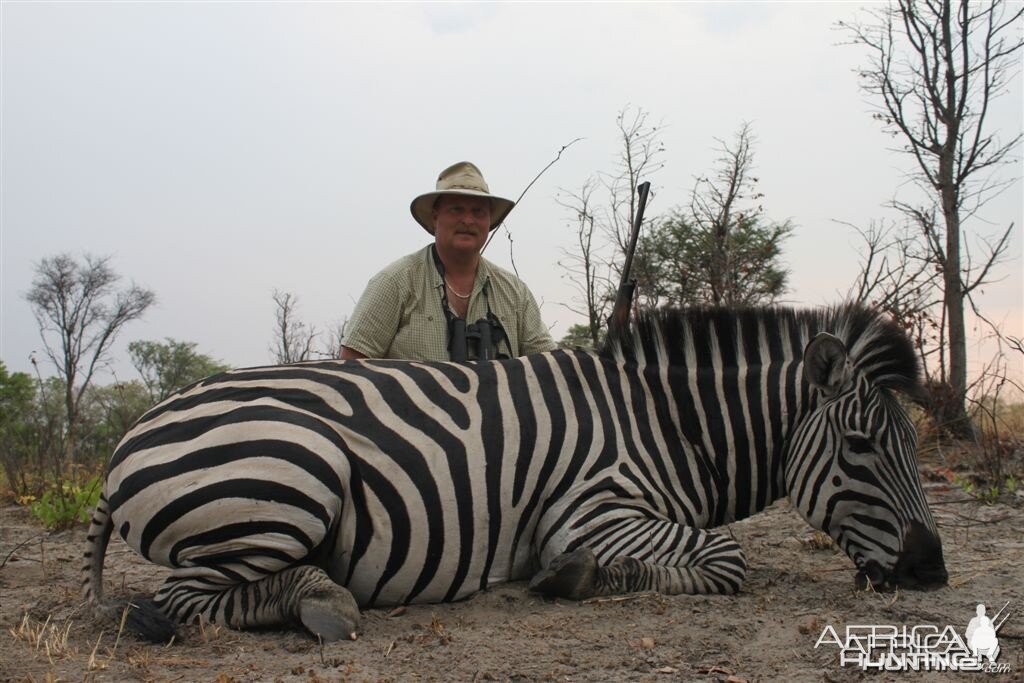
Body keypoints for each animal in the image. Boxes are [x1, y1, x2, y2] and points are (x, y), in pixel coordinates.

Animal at [83, 305, 946, 643]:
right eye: (862, 446)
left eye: (912, 446)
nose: (931, 571)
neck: (665, 423)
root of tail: (133, 431)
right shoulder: (593, 509)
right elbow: (727, 557)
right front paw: (577, 576)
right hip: (301, 473)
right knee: (181, 600)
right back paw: (323, 599)